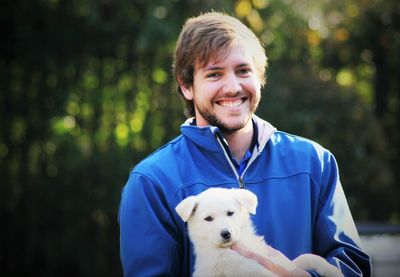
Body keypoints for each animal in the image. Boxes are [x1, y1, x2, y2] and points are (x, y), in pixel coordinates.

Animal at [175, 188, 344, 276]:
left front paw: (332, 270)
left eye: (230, 213)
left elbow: (305, 257)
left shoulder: (279, 262)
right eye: (208, 219)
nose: (226, 234)